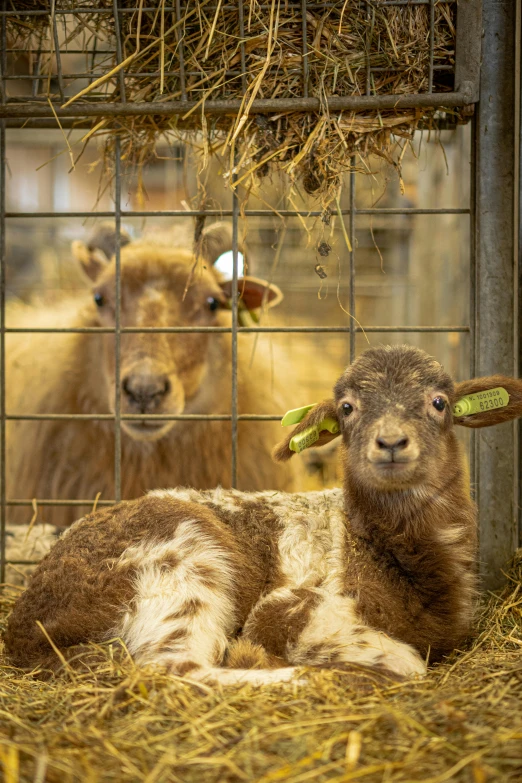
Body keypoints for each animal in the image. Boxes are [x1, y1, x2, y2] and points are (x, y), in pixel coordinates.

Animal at [5, 346, 520, 684]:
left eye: (440, 403)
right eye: (347, 409)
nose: (391, 442)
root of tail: (27, 627)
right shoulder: (295, 606)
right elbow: (407, 662)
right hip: (184, 563)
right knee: (175, 668)